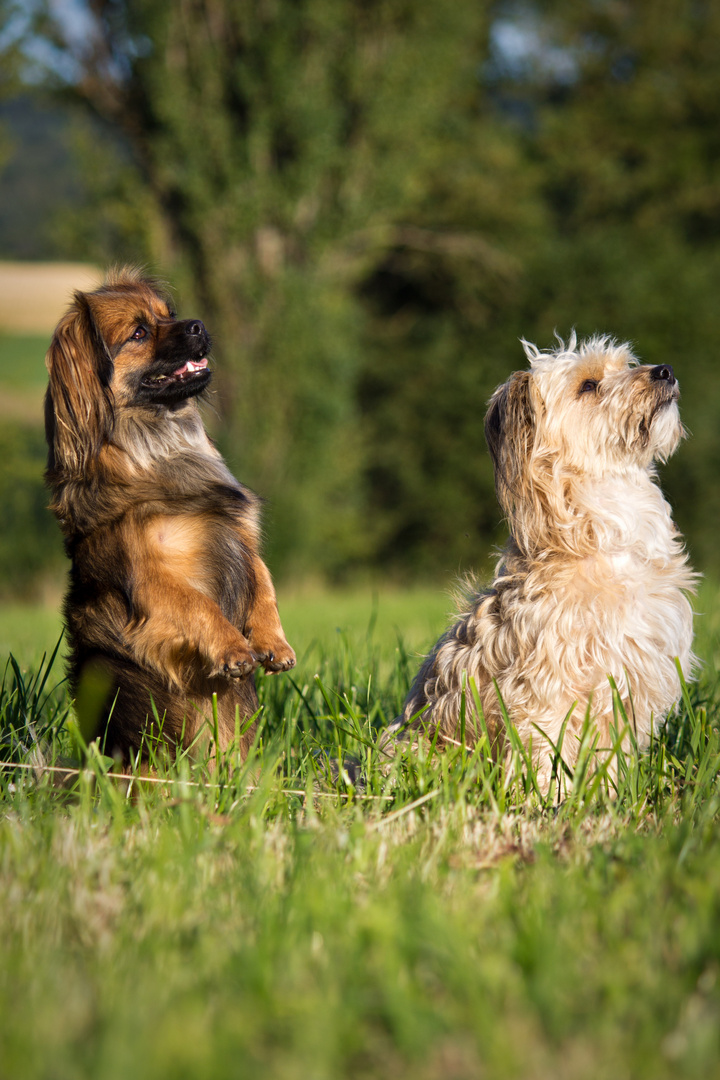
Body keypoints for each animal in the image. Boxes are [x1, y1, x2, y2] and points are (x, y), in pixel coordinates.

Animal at [45, 266, 293, 764]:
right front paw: (233, 648)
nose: (197, 324)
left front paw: (273, 643)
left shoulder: (242, 539)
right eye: (139, 333)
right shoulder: (151, 580)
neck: (161, 447)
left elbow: (265, 584)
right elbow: (198, 605)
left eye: (170, 314)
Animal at [395, 332, 699, 790]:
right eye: (588, 385)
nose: (665, 370)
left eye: (626, 364)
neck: (608, 536)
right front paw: (550, 799)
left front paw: (606, 796)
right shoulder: (544, 691)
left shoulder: (626, 689)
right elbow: (544, 754)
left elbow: (609, 759)